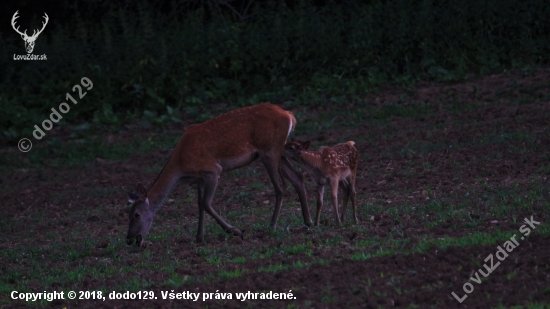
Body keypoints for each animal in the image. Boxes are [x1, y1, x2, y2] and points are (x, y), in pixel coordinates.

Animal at [126, 103, 314, 245]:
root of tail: (289, 115)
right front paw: (199, 238)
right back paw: (308, 221)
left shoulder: (213, 170)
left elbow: (206, 203)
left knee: (281, 186)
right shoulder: (199, 178)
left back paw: (272, 226)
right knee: (297, 177)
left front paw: (236, 231)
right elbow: (199, 204)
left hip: (269, 150)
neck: (180, 165)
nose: (129, 239)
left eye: (136, 214)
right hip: (279, 151)